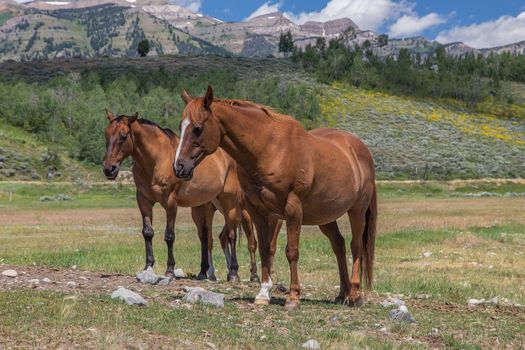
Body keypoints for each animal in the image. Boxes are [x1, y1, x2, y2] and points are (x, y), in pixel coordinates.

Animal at [101, 110, 258, 284]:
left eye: (123, 136)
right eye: (106, 134)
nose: (109, 169)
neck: (157, 159)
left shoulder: (170, 203)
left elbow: (169, 236)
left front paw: (170, 270)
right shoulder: (143, 200)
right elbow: (147, 232)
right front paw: (148, 266)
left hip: (230, 203)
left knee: (233, 236)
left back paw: (235, 273)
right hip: (202, 208)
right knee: (206, 238)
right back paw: (204, 273)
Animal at [174, 87, 374, 308]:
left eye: (197, 128)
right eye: (181, 126)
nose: (179, 167)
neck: (269, 149)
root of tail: (360, 149)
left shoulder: (291, 209)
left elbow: (291, 251)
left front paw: (293, 296)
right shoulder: (258, 211)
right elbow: (264, 248)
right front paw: (263, 292)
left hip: (357, 210)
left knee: (355, 246)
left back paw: (355, 295)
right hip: (325, 216)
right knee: (338, 245)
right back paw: (342, 294)